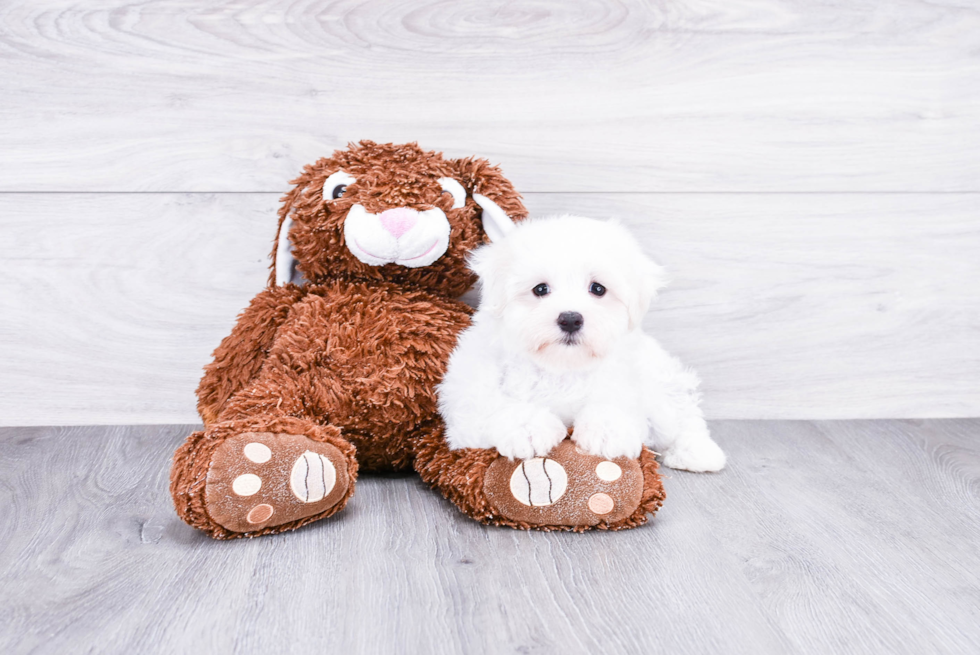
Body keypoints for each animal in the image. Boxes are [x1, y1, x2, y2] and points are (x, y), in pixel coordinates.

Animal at [436, 218, 728, 474]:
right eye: (540, 289)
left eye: (597, 289)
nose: (570, 318)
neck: (561, 366)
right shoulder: (470, 395)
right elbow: (492, 405)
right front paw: (528, 428)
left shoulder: (625, 378)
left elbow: (615, 403)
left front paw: (607, 430)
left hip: (661, 384)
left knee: (682, 415)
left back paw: (697, 452)